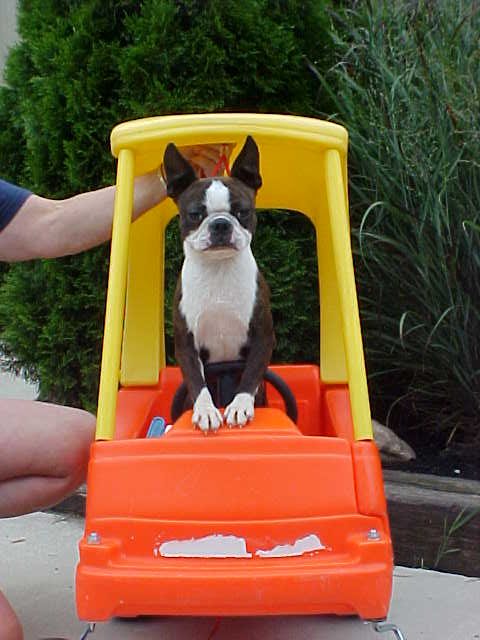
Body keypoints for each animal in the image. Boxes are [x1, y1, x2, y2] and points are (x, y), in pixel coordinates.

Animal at [163, 138, 274, 432]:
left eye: (243, 212)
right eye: (195, 214)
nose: (221, 224)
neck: (218, 269)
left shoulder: (262, 336)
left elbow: (250, 374)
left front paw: (239, 406)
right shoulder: (186, 343)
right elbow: (195, 380)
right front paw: (206, 411)